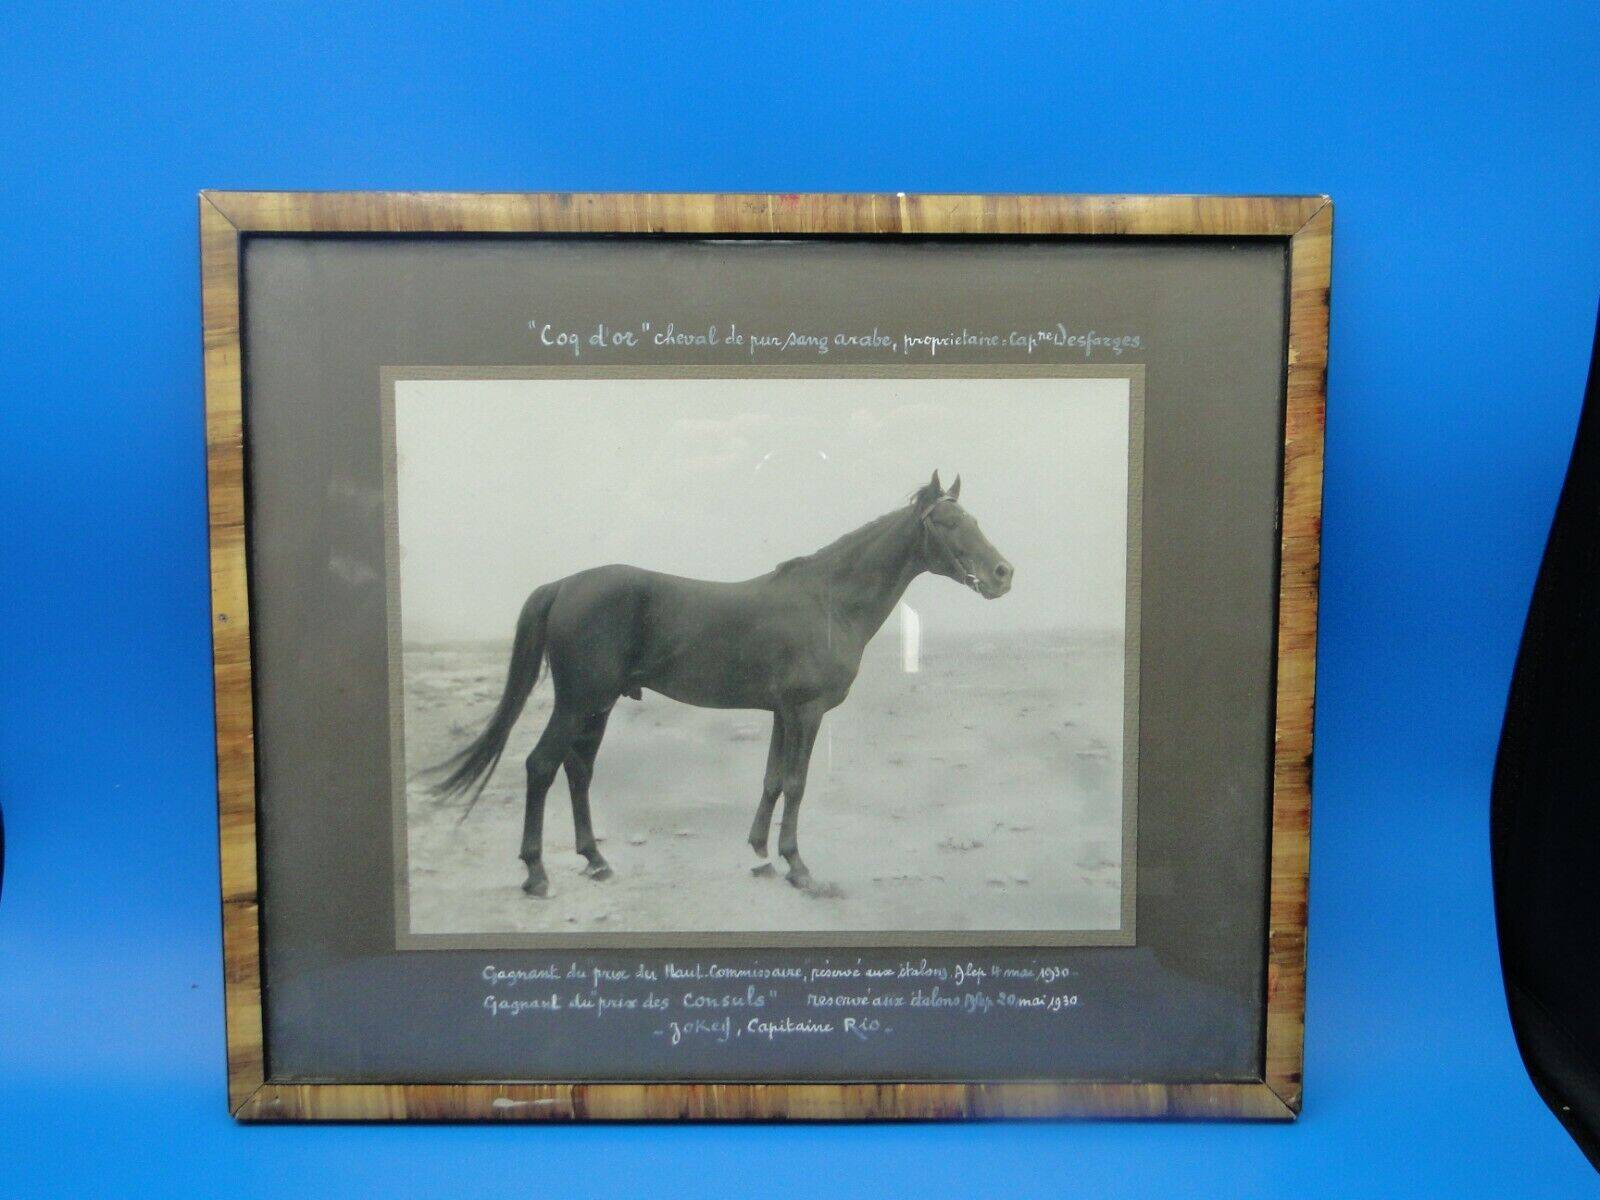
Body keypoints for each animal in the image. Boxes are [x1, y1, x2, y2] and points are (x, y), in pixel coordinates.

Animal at [427, 470, 1014, 897]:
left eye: (972, 517)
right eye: (948, 522)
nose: (1003, 574)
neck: (829, 601)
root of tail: (564, 585)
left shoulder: (781, 713)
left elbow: (772, 780)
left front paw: (761, 853)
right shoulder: (806, 712)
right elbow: (796, 783)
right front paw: (799, 866)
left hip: (598, 706)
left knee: (579, 771)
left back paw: (596, 859)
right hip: (578, 702)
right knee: (542, 766)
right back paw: (536, 873)